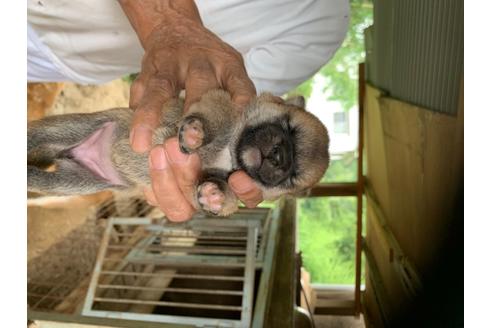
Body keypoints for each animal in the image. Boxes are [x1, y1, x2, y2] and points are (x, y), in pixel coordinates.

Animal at [29, 91, 330, 217]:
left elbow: (219, 195)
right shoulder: (218, 102)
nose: (280, 157)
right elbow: (212, 116)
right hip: (67, 128)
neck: (229, 152)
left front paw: (216, 195)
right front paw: (197, 133)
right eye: (287, 125)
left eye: (292, 176)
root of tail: (78, 152)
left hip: (73, 182)